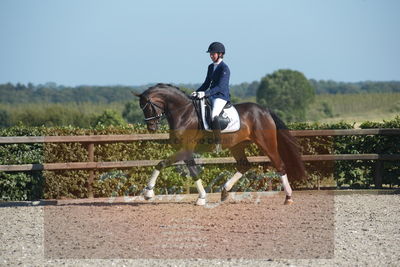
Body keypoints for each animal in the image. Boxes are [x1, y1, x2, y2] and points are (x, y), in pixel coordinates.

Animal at [134, 83, 306, 205]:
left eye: (148, 107)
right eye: (141, 108)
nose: (151, 128)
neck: (184, 114)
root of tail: (264, 110)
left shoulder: (186, 149)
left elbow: (178, 167)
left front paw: (201, 198)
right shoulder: (185, 151)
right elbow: (170, 166)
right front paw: (149, 192)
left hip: (266, 143)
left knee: (279, 165)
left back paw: (288, 197)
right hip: (237, 146)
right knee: (244, 165)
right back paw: (224, 191)